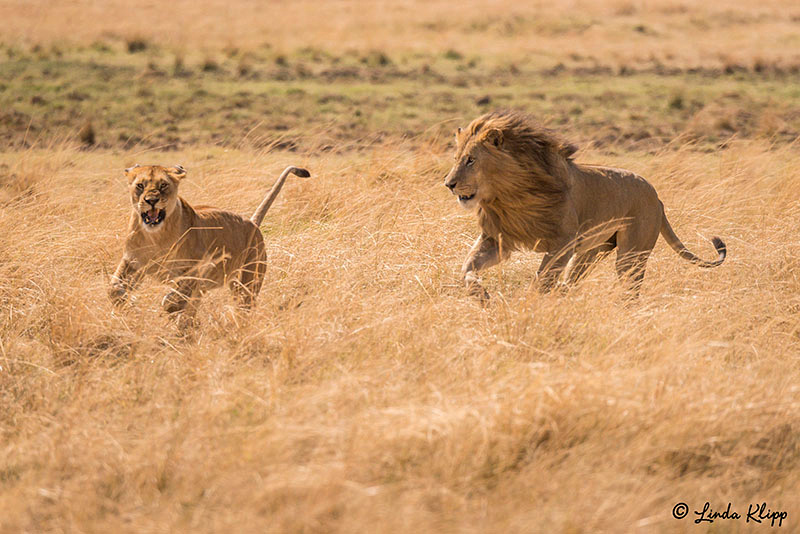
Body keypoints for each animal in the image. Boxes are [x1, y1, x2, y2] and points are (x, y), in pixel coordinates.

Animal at [111, 163, 310, 324]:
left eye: (163, 185)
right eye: (140, 185)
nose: (151, 200)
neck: (156, 236)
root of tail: (252, 222)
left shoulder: (198, 269)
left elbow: (174, 300)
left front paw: (169, 308)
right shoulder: (132, 262)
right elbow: (113, 289)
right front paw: (126, 304)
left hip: (249, 283)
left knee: (244, 307)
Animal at [444, 110, 724, 300]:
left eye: (471, 160)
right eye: (457, 158)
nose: (449, 184)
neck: (509, 195)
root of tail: (658, 198)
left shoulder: (563, 242)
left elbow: (541, 280)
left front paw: (528, 303)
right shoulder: (497, 239)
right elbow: (467, 267)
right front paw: (480, 295)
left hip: (631, 255)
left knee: (630, 289)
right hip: (590, 251)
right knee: (572, 282)